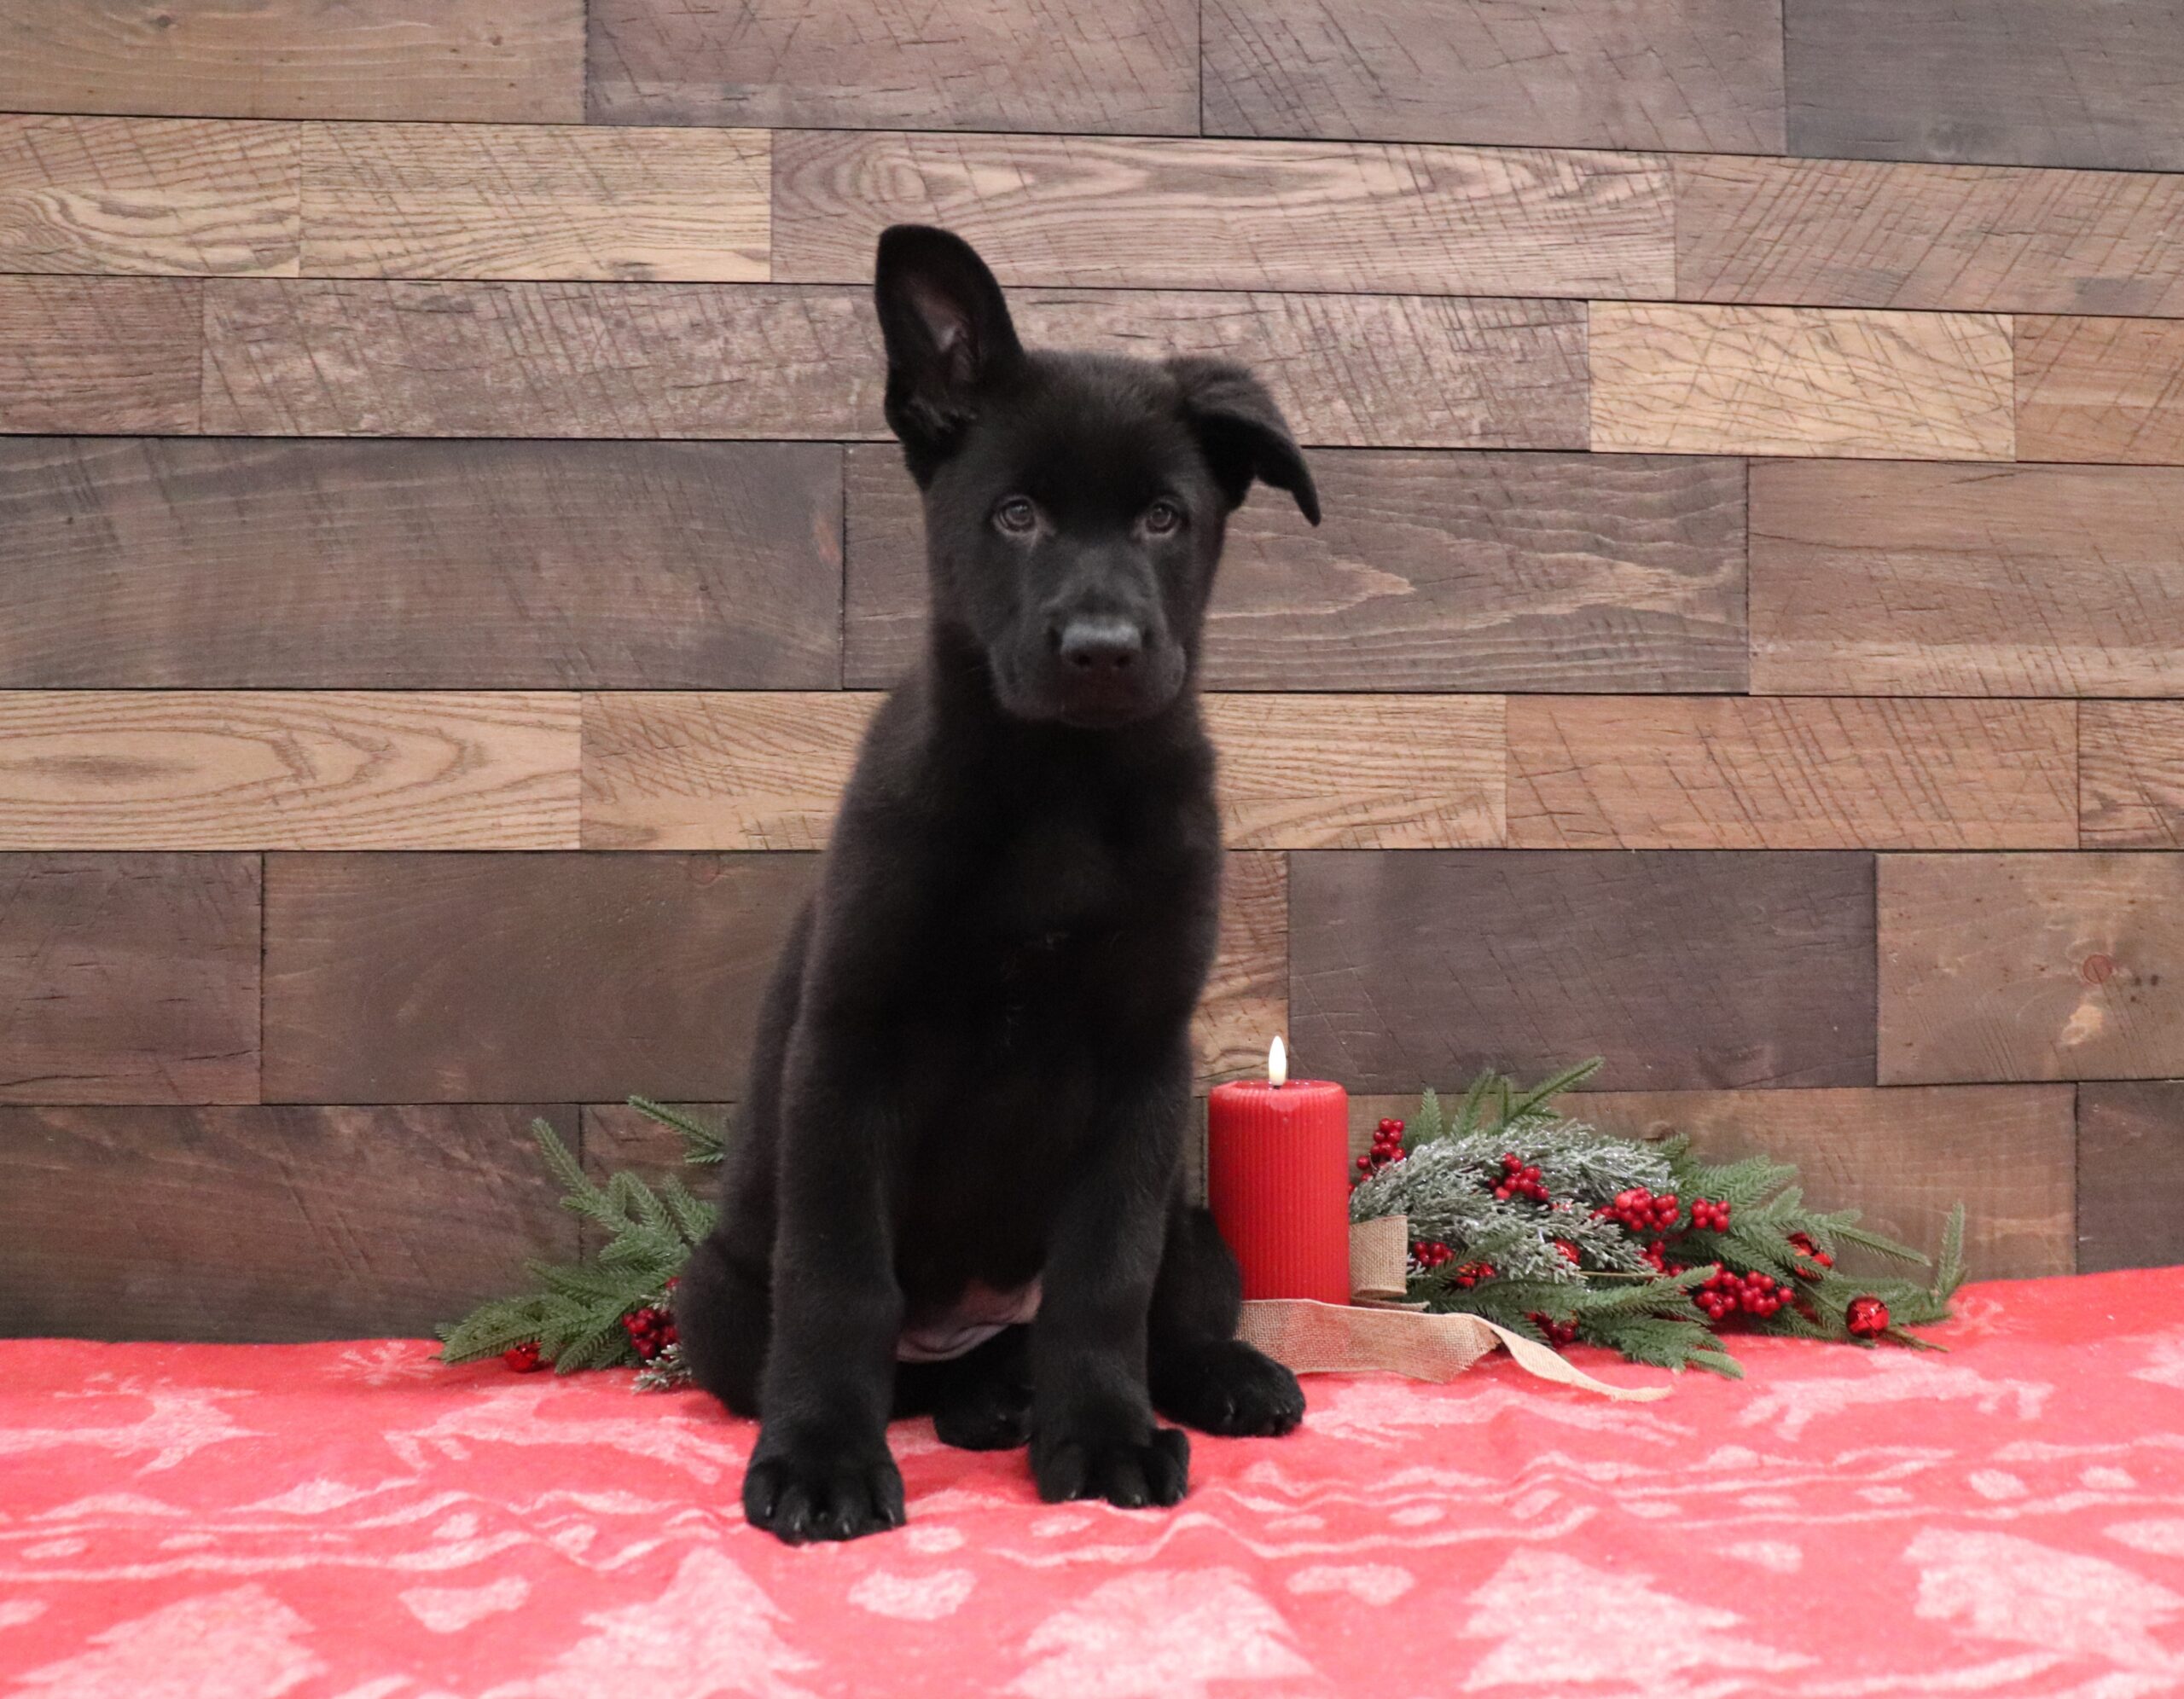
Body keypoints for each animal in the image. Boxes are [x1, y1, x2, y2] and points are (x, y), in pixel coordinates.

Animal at [675, 225, 1319, 1544]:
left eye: (1165, 518)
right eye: (1015, 515)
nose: (1103, 651)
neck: (1061, 789)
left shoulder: (1142, 1063)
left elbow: (1103, 1283)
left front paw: (1106, 1435)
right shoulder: (848, 1046)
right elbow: (839, 1284)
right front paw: (820, 1458)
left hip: (1198, 1228)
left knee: (1154, 1316)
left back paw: (1196, 1380)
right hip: (713, 1294)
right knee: (905, 1366)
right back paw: (981, 1401)